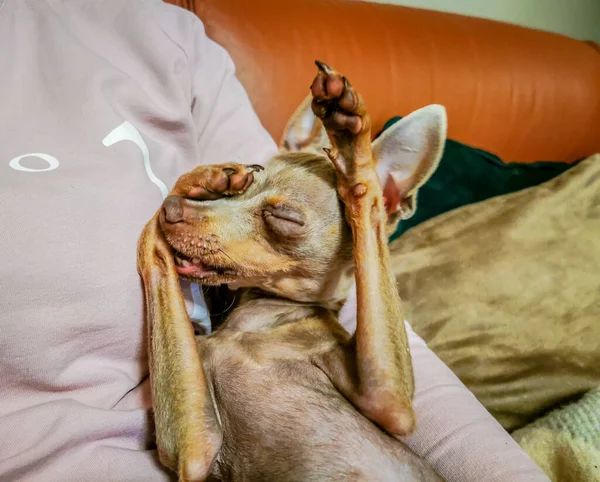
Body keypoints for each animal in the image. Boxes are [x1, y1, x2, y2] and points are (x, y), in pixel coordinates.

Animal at [139, 62, 446, 480]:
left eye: (283, 218)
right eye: (238, 192)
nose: (173, 210)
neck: (257, 322)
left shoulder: (389, 400)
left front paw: (353, 149)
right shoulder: (193, 448)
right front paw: (207, 178)